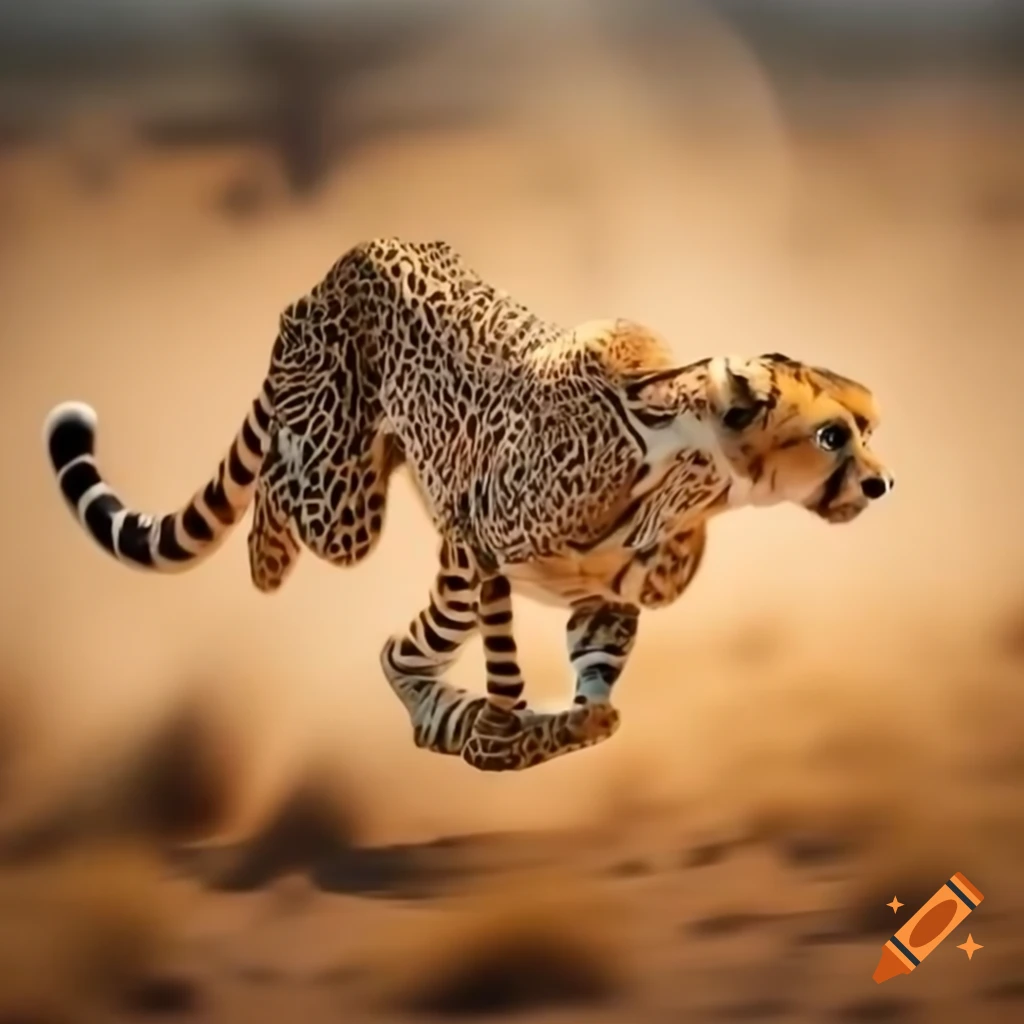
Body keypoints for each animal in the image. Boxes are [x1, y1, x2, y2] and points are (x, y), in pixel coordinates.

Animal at [43, 238, 893, 772]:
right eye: (831, 435)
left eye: (870, 424)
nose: (882, 483)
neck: (691, 472)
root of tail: (348, 259)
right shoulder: (476, 534)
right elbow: (507, 665)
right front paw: (508, 732)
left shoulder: (601, 598)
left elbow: (594, 671)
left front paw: (566, 721)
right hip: (346, 501)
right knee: (288, 493)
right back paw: (270, 558)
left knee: (398, 655)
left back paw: (448, 724)